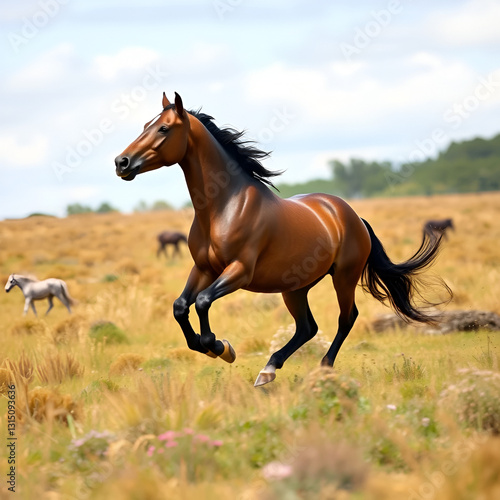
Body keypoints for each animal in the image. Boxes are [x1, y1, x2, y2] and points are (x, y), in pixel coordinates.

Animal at [115, 92, 452, 386]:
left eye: (163, 128)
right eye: (144, 125)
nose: (122, 163)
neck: (224, 207)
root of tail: (352, 216)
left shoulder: (239, 271)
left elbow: (202, 301)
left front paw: (221, 348)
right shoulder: (204, 269)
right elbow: (180, 306)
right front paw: (208, 346)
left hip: (343, 277)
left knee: (346, 318)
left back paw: (322, 368)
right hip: (295, 287)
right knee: (307, 327)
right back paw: (268, 370)